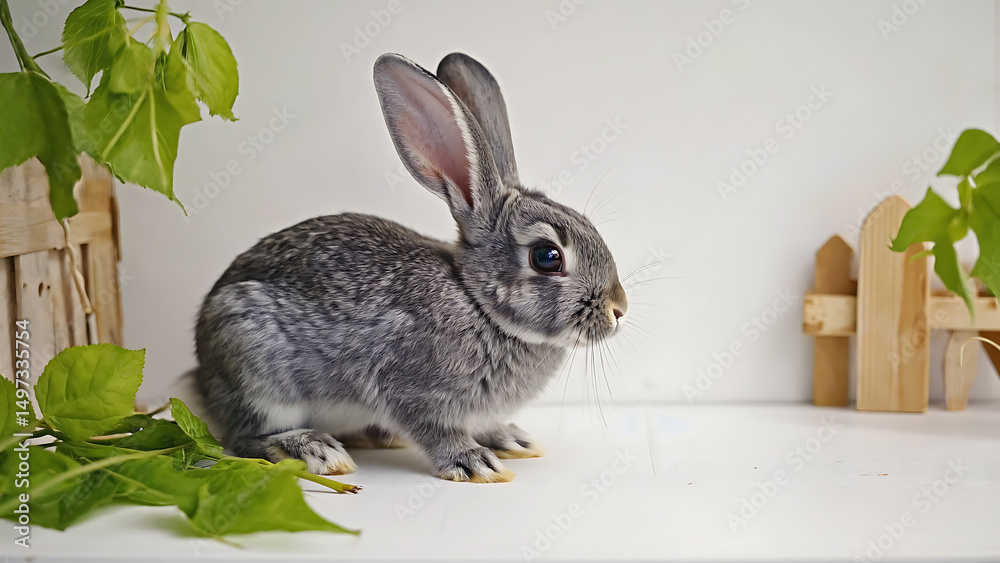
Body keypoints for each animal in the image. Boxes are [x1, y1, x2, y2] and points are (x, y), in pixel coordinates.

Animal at [193, 52, 628, 483]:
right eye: (547, 257)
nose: (618, 309)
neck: (478, 305)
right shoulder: (409, 389)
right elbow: (434, 430)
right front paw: (474, 462)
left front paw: (511, 440)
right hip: (254, 367)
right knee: (245, 438)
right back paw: (316, 450)